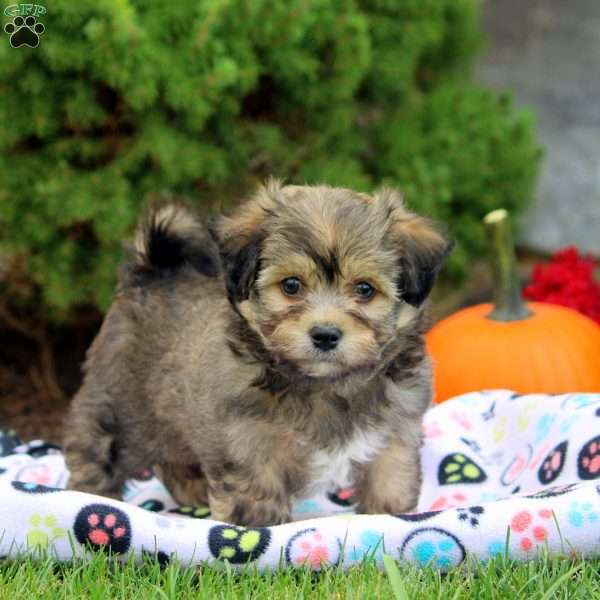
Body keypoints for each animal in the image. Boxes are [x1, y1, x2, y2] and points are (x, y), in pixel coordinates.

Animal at [63, 180, 452, 524]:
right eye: (291, 285)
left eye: (365, 289)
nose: (325, 335)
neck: (325, 386)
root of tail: (154, 274)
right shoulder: (247, 446)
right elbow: (254, 500)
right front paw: (251, 538)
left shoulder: (395, 435)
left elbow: (391, 485)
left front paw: (389, 520)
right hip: (119, 409)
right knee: (97, 452)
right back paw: (93, 500)